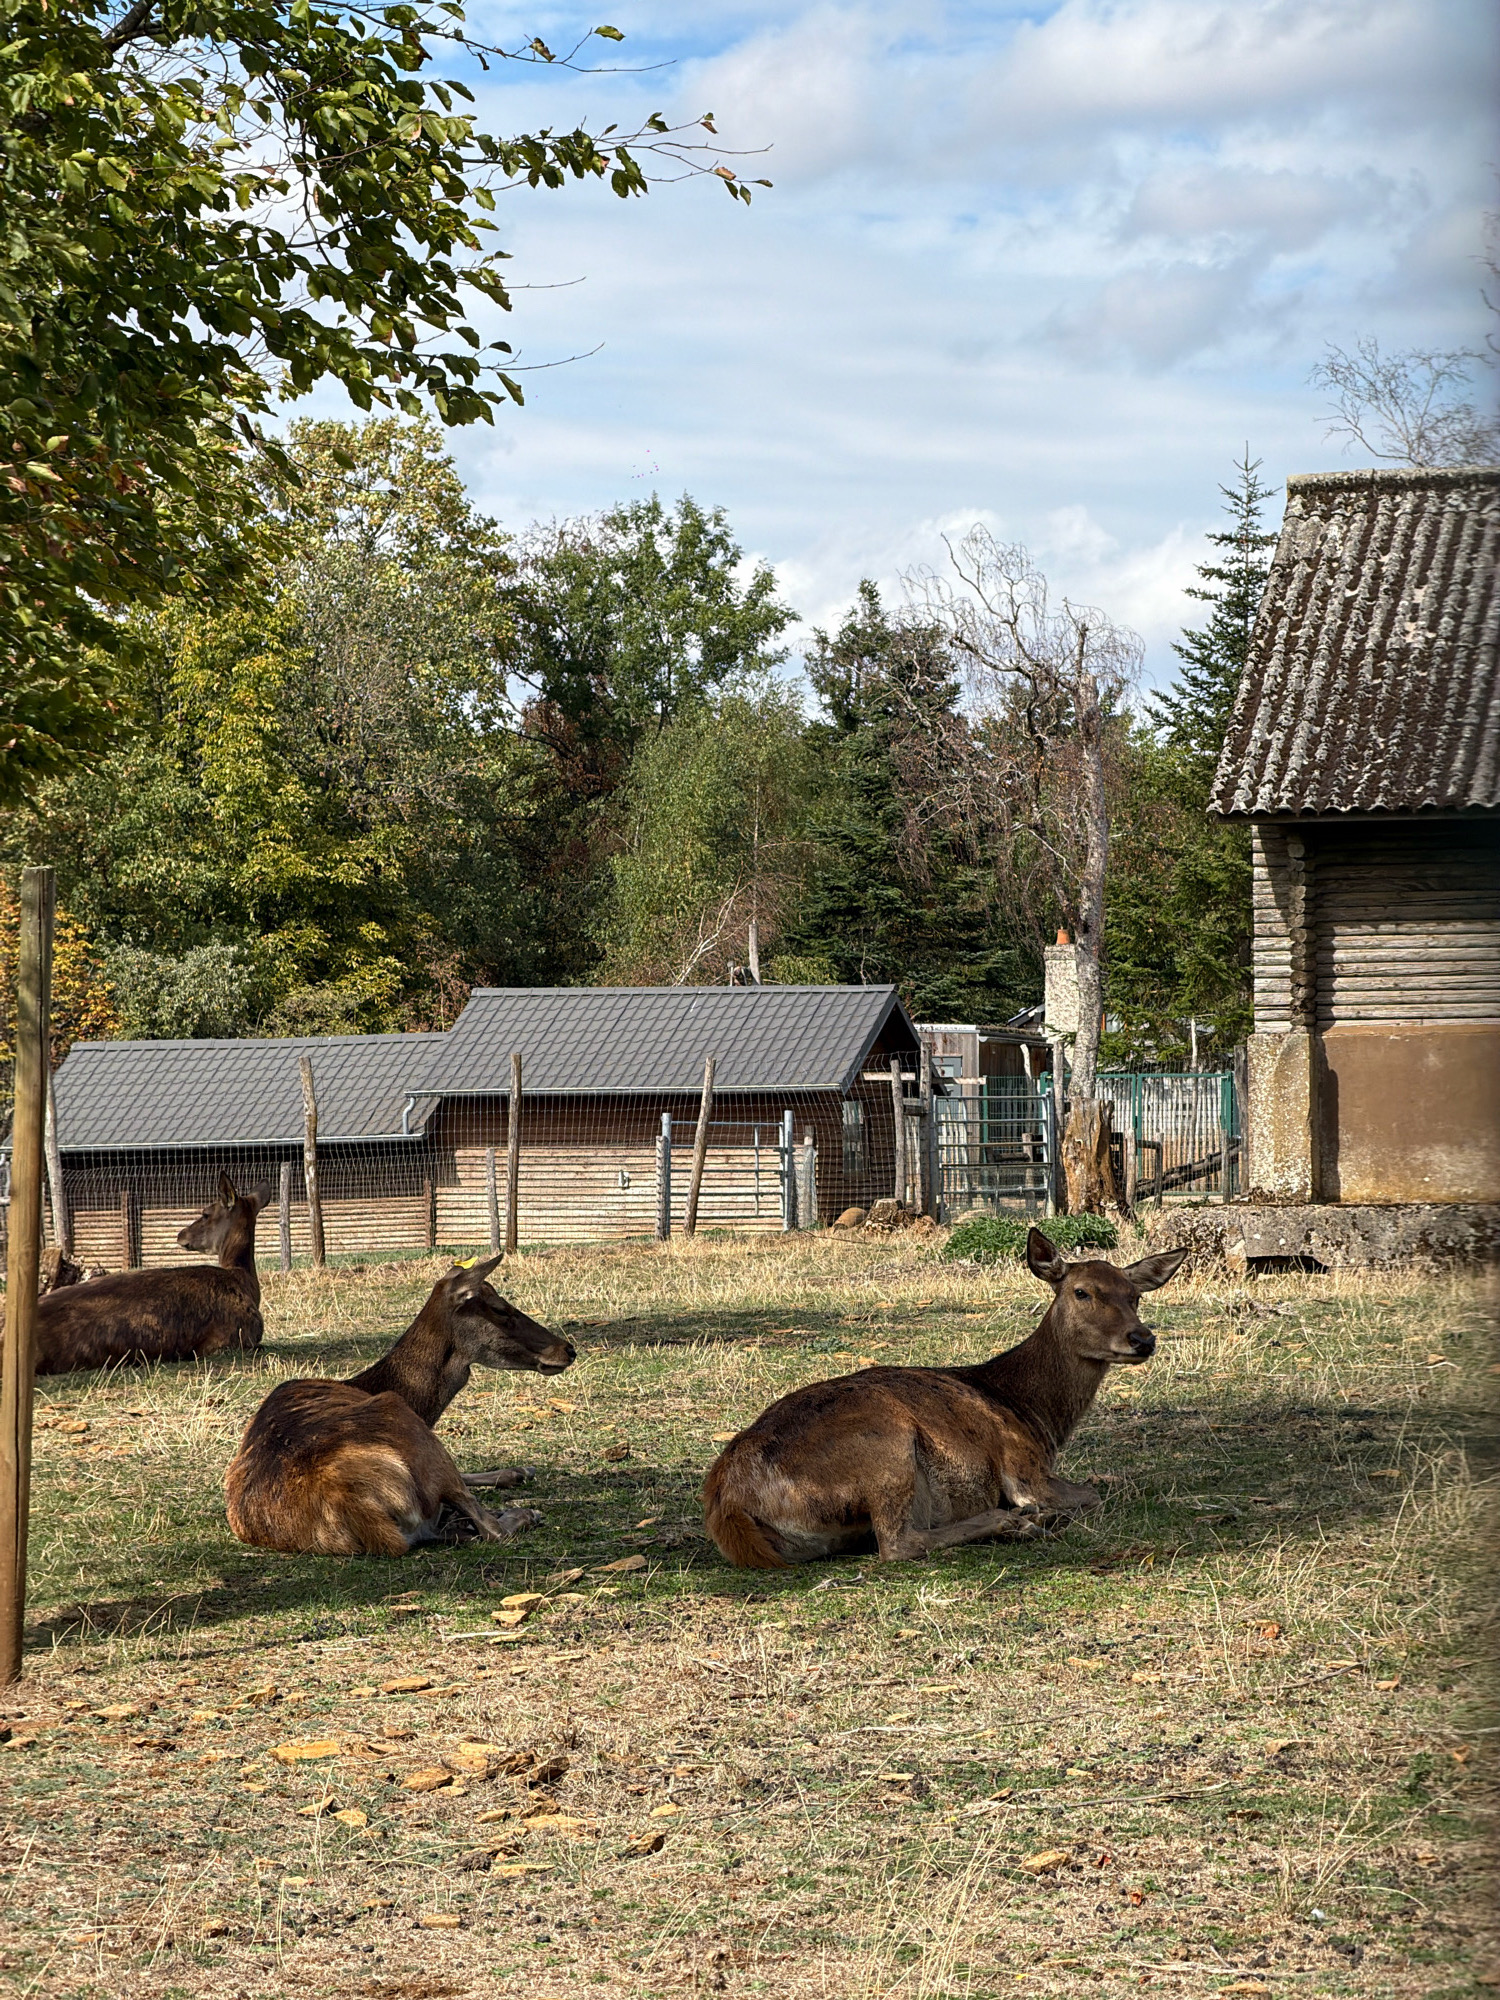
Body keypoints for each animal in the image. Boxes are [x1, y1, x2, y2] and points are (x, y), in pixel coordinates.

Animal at [224, 1253, 577, 1557]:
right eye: (500, 1309)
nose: (567, 1349)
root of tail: (361, 1508)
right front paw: (521, 1475)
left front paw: (520, 1471)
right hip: (404, 1423)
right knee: (489, 1528)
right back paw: (524, 1513)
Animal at [702, 1226, 1187, 1567]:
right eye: (1081, 1291)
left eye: (1135, 1296)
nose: (1142, 1339)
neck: (1033, 1413)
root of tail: (728, 1500)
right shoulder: (1023, 1467)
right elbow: (1091, 1494)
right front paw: (1036, 1513)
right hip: (885, 1447)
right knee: (898, 1543)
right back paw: (1016, 1523)